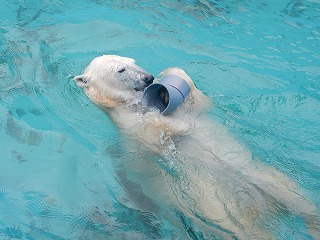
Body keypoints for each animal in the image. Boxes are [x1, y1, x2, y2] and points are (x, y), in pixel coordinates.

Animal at [74, 54, 318, 240]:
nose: (148, 77)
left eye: (133, 61)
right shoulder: (127, 125)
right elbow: (153, 138)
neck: (129, 104)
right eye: (121, 69)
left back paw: (313, 223)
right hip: (210, 202)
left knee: (294, 194)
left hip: (260, 174)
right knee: (237, 226)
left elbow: (198, 103)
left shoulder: (188, 109)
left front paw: (170, 77)